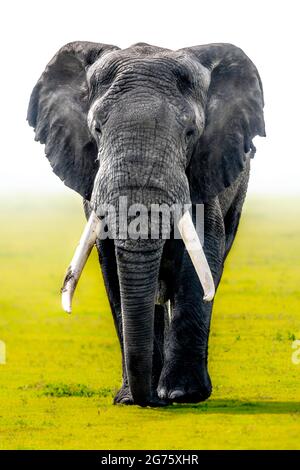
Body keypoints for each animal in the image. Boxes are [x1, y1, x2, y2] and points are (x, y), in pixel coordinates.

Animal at [27, 41, 264, 408]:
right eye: (97, 130)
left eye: (190, 133)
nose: (151, 401)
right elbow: (112, 266)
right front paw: (130, 399)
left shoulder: (205, 168)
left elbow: (200, 255)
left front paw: (183, 395)